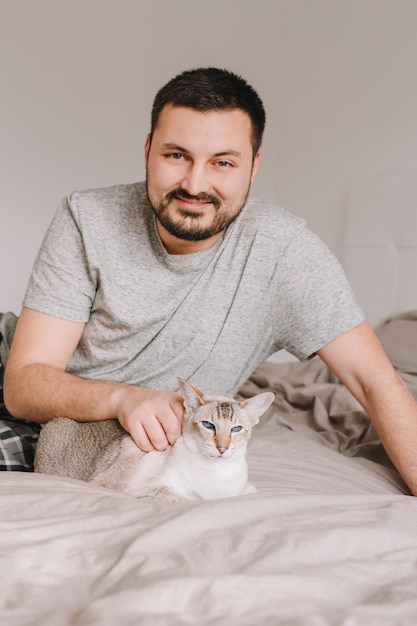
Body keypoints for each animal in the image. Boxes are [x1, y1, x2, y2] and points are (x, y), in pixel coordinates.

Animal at [34, 376, 274, 502]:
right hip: (57, 429)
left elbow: (249, 492)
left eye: (236, 429)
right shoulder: (141, 488)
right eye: (208, 425)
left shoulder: (241, 491)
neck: (215, 474)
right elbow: (188, 499)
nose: (222, 448)